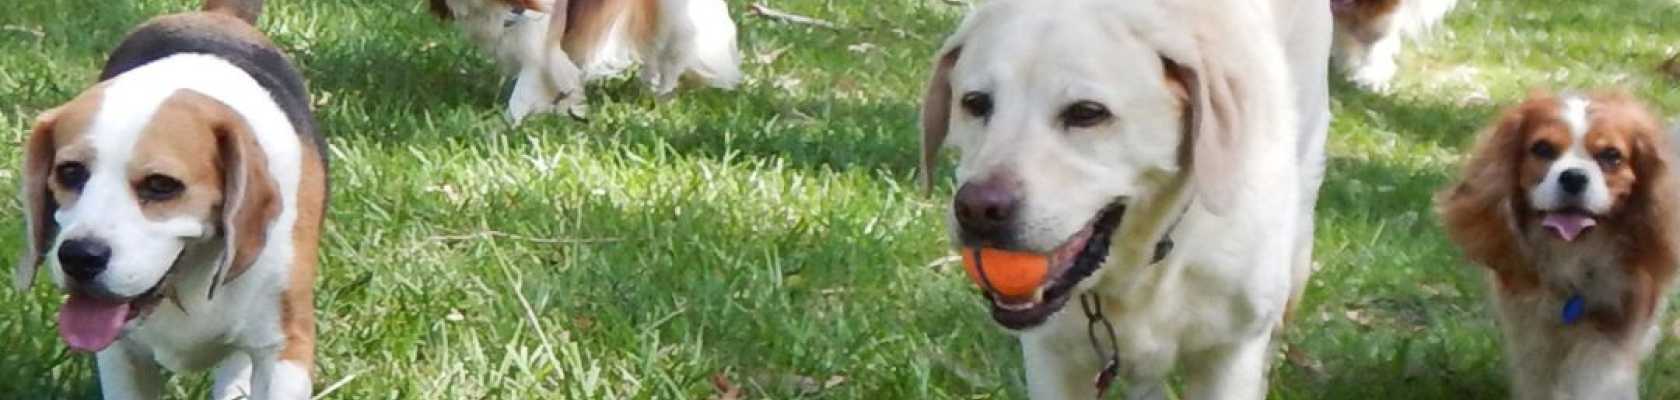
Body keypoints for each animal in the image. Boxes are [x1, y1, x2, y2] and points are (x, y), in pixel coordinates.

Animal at [16, 0, 327, 396]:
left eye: (161, 185)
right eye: (69, 172)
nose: (80, 257)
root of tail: (218, 17)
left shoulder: (284, 348)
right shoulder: (121, 354)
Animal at [1438, 92, 1673, 398]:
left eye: (1611, 156)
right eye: (1543, 149)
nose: (1573, 177)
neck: (1571, 252)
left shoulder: (1612, 325)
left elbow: (1595, 379)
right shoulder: (1530, 330)